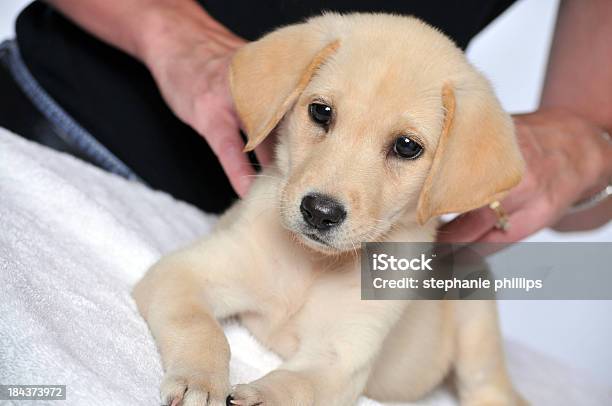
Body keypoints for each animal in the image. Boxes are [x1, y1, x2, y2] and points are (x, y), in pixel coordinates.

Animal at [134, 12, 524, 406]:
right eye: (321, 112)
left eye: (406, 146)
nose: (320, 212)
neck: (314, 264)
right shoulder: (185, 271)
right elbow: (201, 328)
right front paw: (199, 380)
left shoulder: (340, 358)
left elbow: (295, 386)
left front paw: (260, 396)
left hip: (476, 303)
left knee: (487, 383)